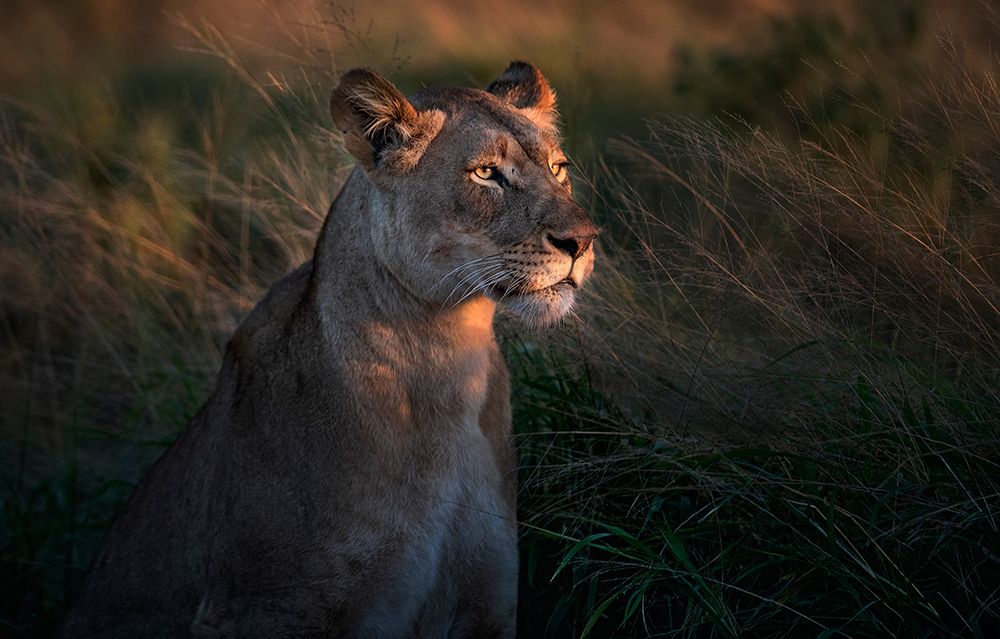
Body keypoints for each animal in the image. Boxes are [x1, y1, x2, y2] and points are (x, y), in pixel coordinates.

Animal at [59, 60, 597, 638]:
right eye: (485, 173)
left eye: (559, 168)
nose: (584, 240)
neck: (448, 356)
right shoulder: (272, 610)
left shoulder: (488, 602)